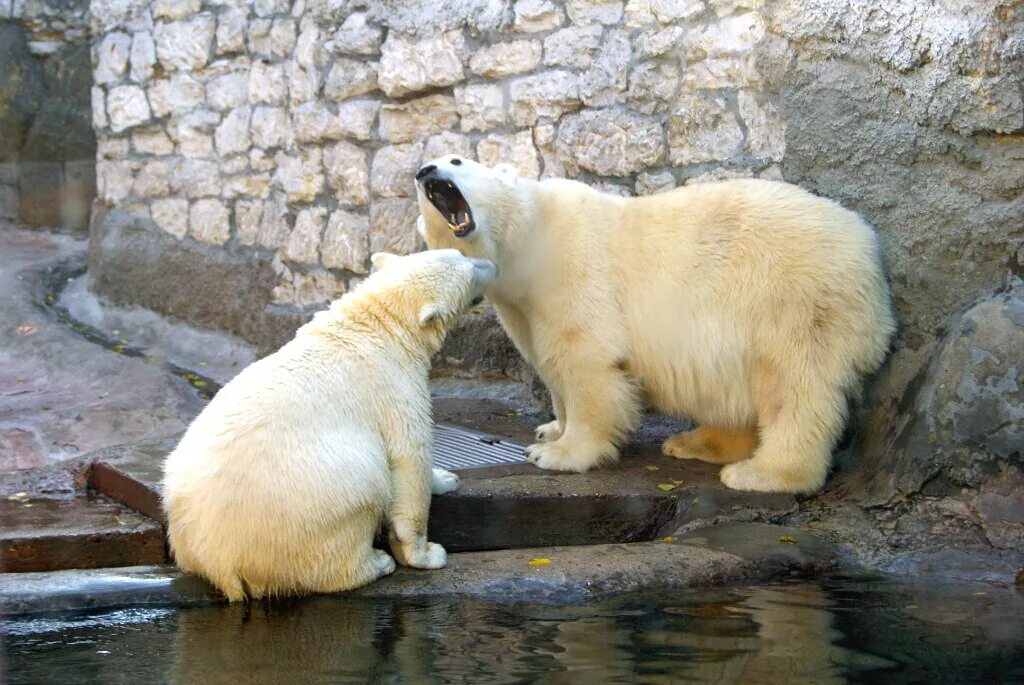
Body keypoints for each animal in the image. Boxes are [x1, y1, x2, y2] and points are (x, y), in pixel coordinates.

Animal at [411, 157, 892, 493]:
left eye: (456, 159)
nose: (424, 170)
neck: (526, 234)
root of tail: (867, 248)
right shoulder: (518, 301)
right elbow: (547, 360)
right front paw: (551, 428)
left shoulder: (570, 262)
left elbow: (584, 357)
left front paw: (559, 453)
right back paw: (693, 443)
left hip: (792, 297)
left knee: (792, 385)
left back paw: (762, 473)